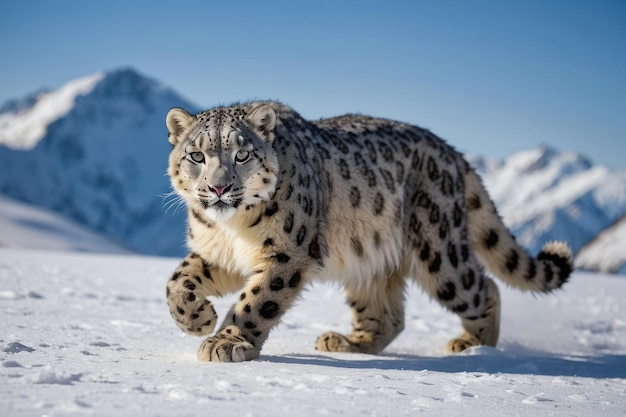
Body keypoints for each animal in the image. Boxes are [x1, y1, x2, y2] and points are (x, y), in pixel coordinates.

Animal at [162, 101, 572, 360]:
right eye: (197, 155)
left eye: (242, 154)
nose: (218, 188)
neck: (232, 230)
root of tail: (451, 151)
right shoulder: (221, 253)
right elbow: (177, 278)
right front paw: (197, 319)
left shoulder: (287, 251)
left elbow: (258, 300)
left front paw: (226, 342)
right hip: (367, 262)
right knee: (387, 314)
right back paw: (346, 341)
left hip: (440, 252)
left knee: (483, 286)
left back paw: (474, 346)